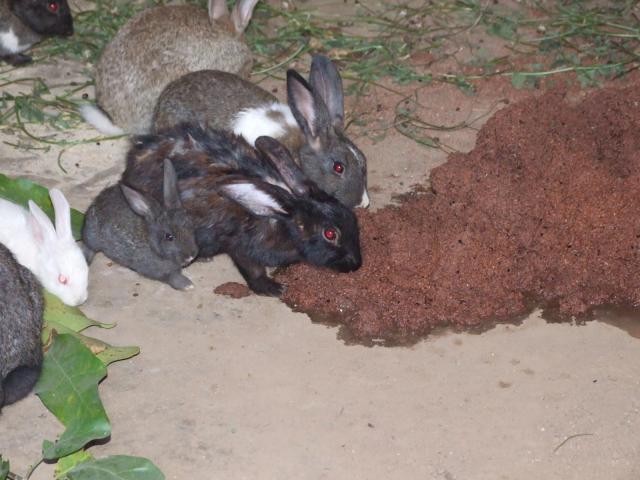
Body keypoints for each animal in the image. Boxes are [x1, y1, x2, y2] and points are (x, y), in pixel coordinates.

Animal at [82, 159, 199, 290]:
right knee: (88, 246)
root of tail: (96, 201)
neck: (154, 246)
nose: (191, 256)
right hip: (92, 236)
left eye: (191, 226)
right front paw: (188, 285)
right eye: (169, 237)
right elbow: (171, 277)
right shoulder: (156, 271)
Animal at [120, 124, 360, 296]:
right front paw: (275, 289)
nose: (356, 265)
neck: (279, 216)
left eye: (351, 217)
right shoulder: (240, 246)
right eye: (330, 234)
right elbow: (253, 272)